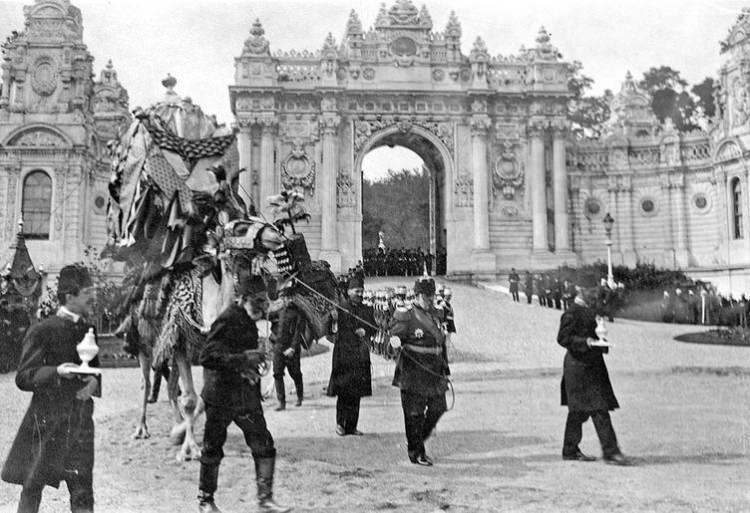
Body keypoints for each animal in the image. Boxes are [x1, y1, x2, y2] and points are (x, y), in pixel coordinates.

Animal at [106, 77, 340, 460]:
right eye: (239, 225)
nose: (278, 235)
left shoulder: (206, 353)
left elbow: (199, 398)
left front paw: (186, 435)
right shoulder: (182, 345)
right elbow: (189, 398)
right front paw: (188, 448)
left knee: (169, 385)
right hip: (142, 344)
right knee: (146, 381)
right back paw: (142, 428)